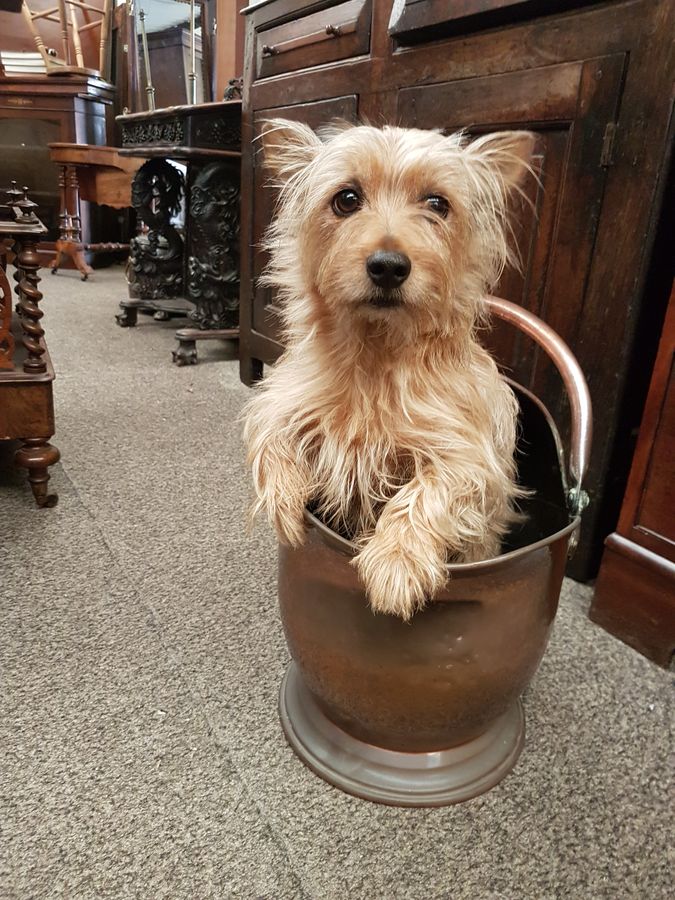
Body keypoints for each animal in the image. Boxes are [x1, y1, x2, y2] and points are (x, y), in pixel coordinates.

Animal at [240, 119, 536, 620]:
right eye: (346, 199)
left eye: (437, 203)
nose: (388, 266)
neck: (376, 351)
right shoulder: (285, 397)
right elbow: (269, 436)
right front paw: (283, 503)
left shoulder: (468, 454)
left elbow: (428, 490)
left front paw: (396, 562)